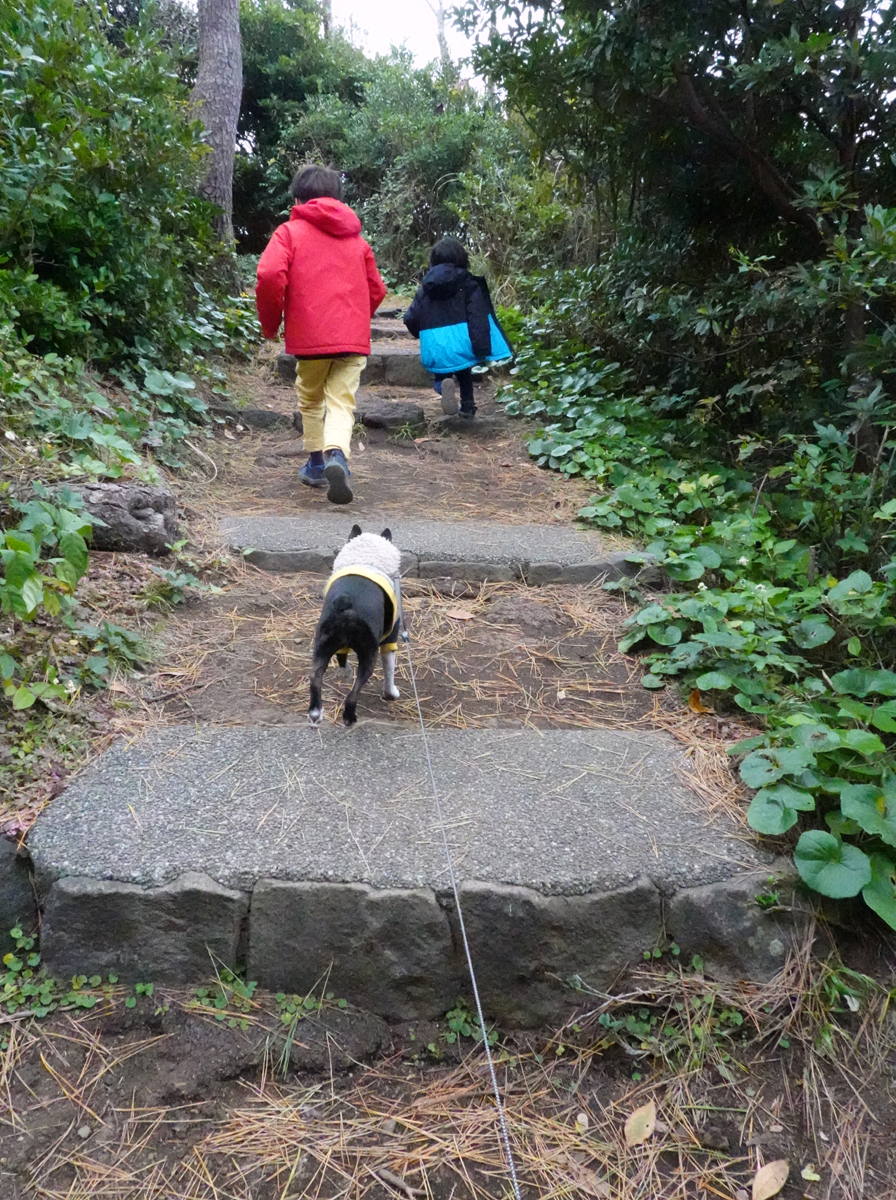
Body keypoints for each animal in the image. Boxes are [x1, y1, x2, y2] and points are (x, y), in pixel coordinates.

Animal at [311, 523, 403, 724]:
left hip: (322, 644)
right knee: (354, 693)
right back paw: (349, 718)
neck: (366, 559)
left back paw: (315, 712)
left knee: (315, 678)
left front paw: (345, 672)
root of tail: (347, 600)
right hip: (369, 654)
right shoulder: (390, 640)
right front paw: (391, 694)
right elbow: (389, 671)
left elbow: (342, 658)